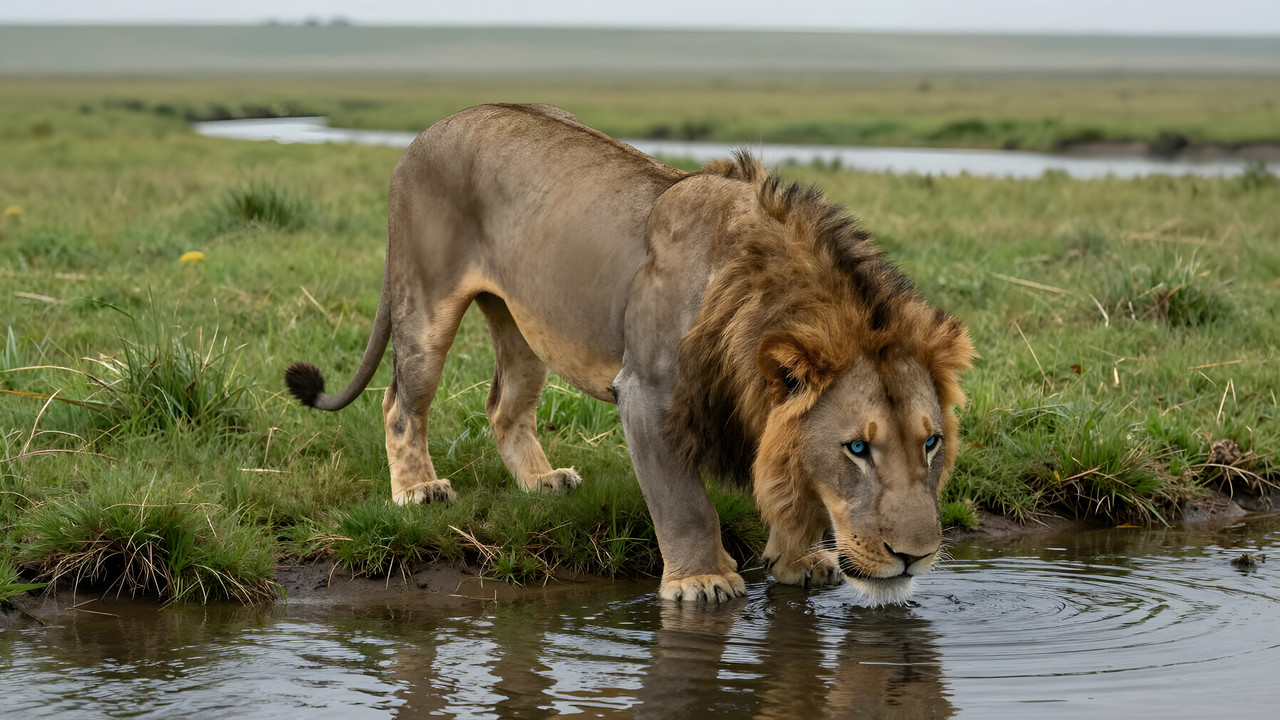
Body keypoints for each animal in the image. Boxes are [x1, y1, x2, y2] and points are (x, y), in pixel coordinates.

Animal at [285, 103, 972, 605]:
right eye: (857, 448)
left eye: (931, 443)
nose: (916, 557)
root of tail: (425, 131)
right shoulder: (646, 395)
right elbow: (684, 504)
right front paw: (703, 581)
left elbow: (788, 481)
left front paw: (800, 559)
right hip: (424, 305)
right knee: (401, 400)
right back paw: (417, 490)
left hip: (527, 323)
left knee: (504, 406)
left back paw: (541, 483)